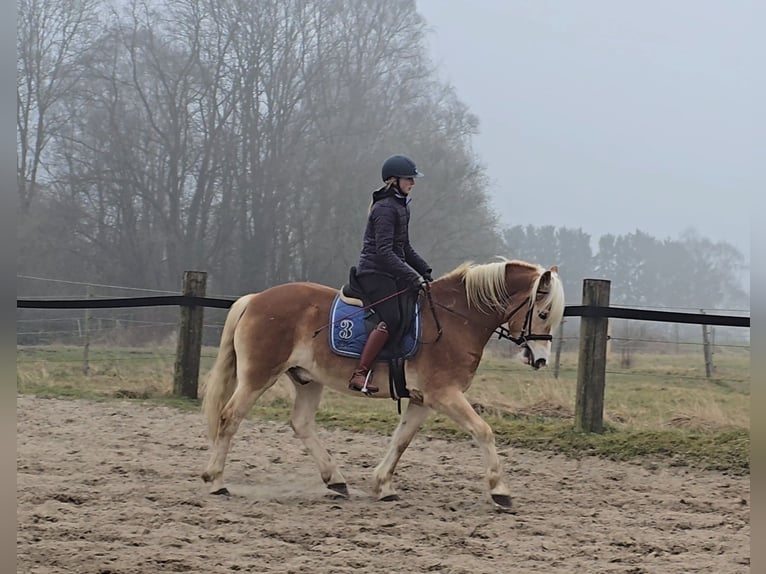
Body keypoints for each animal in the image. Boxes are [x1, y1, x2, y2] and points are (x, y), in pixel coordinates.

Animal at [201, 258, 568, 510]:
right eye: (543, 313)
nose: (539, 360)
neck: (456, 320)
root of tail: (254, 299)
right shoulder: (444, 394)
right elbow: (484, 431)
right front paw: (500, 491)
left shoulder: (422, 399)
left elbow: (401, 440)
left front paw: (382, 486)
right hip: (258, 376)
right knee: (229, 418)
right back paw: (216, 481)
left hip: (307, 379)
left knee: (301, 423)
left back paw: (336, 480)